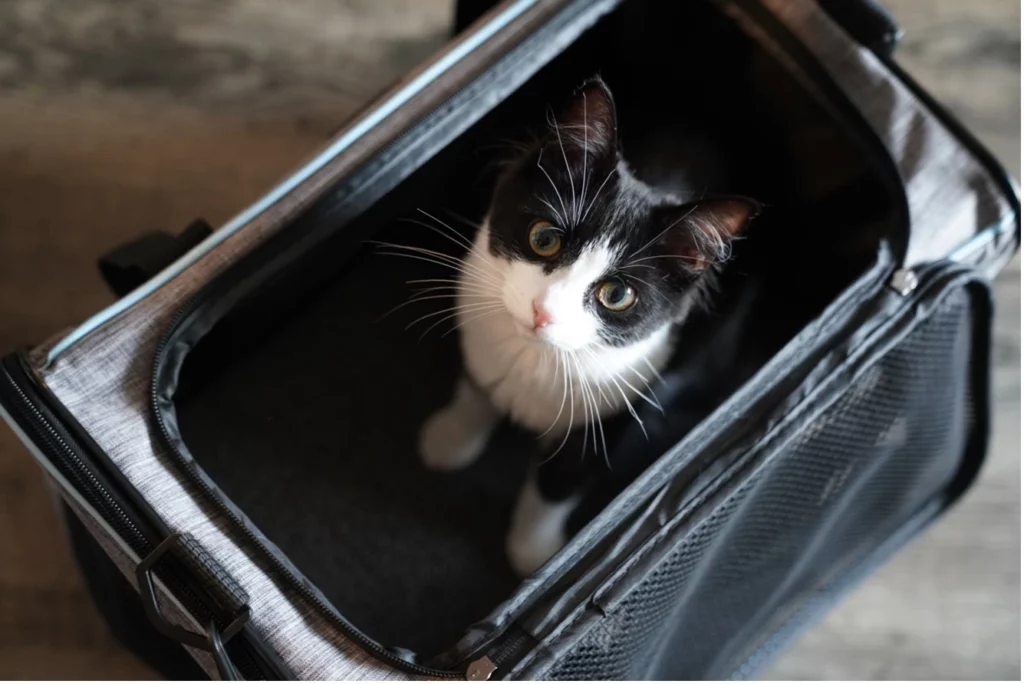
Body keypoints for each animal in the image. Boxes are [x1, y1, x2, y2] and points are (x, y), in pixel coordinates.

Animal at [415, 76, 761, 577]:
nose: (542, 311)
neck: (536, 358)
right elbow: (477, 385)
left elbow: (559, 479)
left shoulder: (629, 401)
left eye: (616, 296)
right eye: (544, 238)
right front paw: (450, 439)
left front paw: (535, 555)